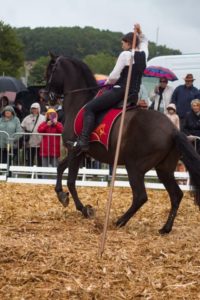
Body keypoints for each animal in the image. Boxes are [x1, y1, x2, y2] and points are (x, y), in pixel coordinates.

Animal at [46, 55, 200, 236]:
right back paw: (165, 228)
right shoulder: (78, 152)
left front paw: (84, 209)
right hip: (164, 169)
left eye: (50, 70)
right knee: (176, 195)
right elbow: (60, 168)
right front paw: (62, 195)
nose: (48, 96)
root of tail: (172, 130)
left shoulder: (74, 151)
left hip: (134, 167)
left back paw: (120, 221)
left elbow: (70, 180)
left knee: (141, 196)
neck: (80, 101)